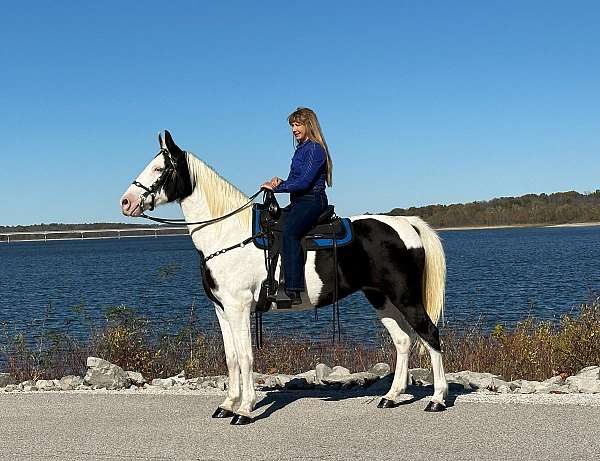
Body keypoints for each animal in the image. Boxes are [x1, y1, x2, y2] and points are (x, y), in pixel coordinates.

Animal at [119, 130, 448, 424]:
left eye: (159, 168)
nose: (126, 202)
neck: (227, 233)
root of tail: (406, 223)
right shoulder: (222, 309)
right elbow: (231, 357)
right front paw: (227, 404)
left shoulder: (239, 307)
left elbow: (246, 356)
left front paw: (244, 409)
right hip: (380, 297)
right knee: (403, 341)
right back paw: (391, 397)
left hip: (405, 296)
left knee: (430, 335)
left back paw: (437, 399)